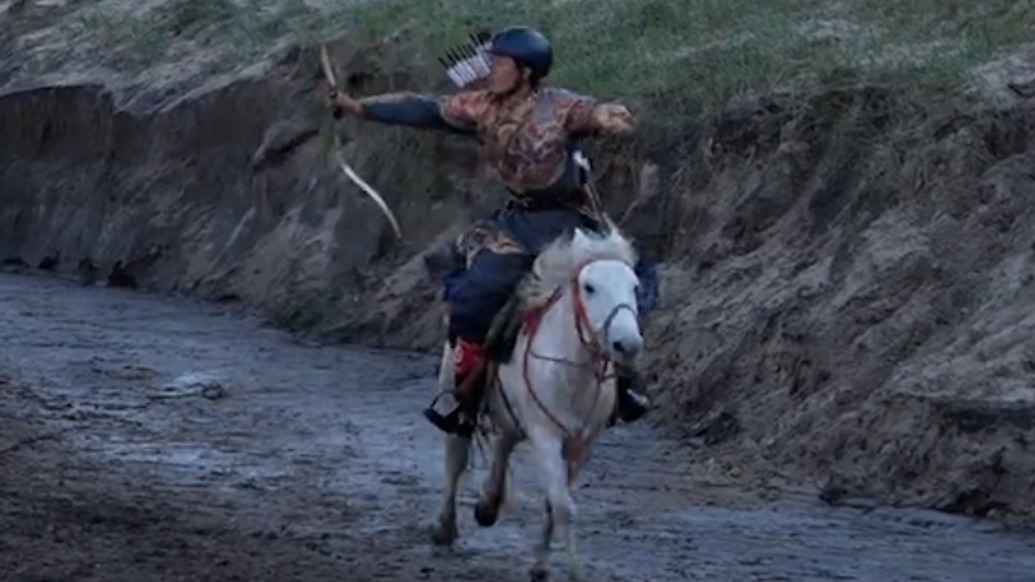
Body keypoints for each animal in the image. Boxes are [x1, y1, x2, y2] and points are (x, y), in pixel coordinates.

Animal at [430, 221, 641, 579]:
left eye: (635, 287)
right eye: (589, 287)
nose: (628, 344)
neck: (571, 374)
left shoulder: (581, 445)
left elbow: (554, 504)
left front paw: (541, 567)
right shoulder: (545, 436)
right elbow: (563, 506)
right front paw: (573, 573)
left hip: (512, 417)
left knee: (503, 445)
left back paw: (488, 504)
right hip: (454, 399)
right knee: (454, 460)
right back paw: (445, 527)